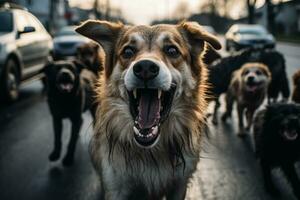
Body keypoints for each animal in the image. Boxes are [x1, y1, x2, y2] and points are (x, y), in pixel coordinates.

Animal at [75, 20, 220, 200]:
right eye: (128, 51)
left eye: (172, 50)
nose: (145, 67)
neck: (150, 151)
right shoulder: (115, 187)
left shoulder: (179, 184)